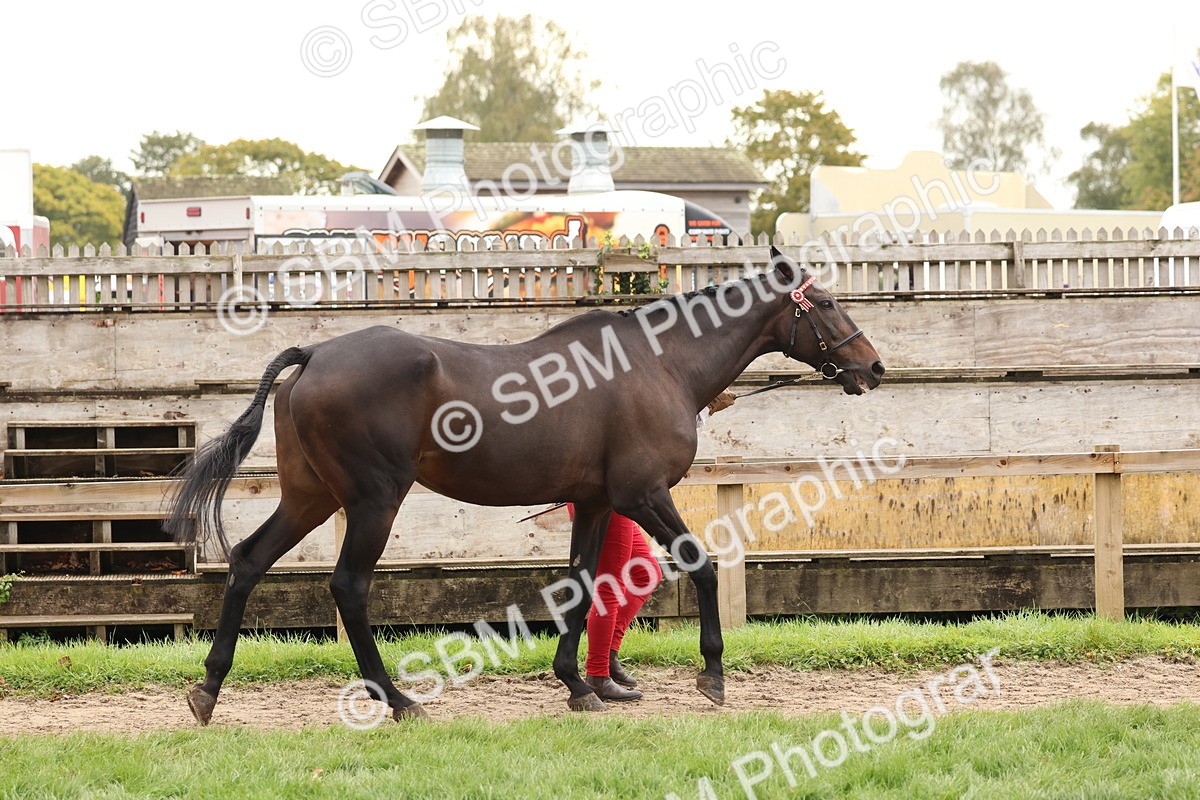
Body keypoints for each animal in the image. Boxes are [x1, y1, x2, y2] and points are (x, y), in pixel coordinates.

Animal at [165, 246, 885, 724]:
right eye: (824, 303)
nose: (873, 367)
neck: (660, 365)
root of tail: (314, 355)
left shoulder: (595, 503)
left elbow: (581, 586)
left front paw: (579, 686)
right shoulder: (644, 495)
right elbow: (703, 566)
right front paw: (712, 675)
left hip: (311, 497)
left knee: (248, 561)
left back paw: (209, 689)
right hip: (373, 501)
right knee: (348, 587)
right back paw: (397, 699)